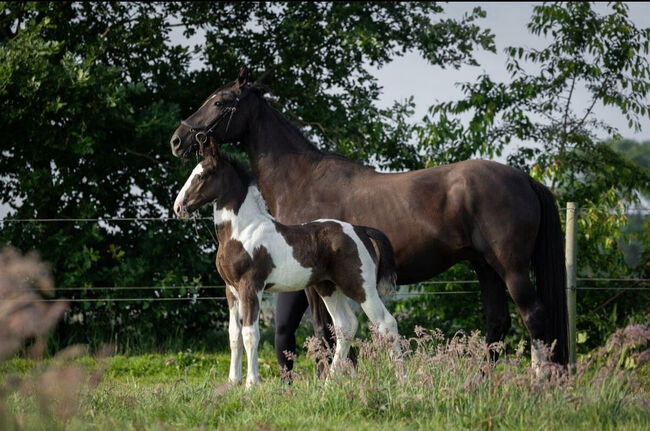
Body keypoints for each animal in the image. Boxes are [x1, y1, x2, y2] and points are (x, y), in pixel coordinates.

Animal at [173, 152, 400, 388]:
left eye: (203, 175)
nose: (178, 207)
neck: (242, 231)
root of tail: (360, 230)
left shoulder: (251, 286)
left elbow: (250, 334)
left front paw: (251, 384)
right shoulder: (231, 289)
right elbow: (234, 335)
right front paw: (233, 382)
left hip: (361, 288)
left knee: (386, 323)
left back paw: (400, 379)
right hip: (327, 288)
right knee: (345, 326)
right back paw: (329, 384)